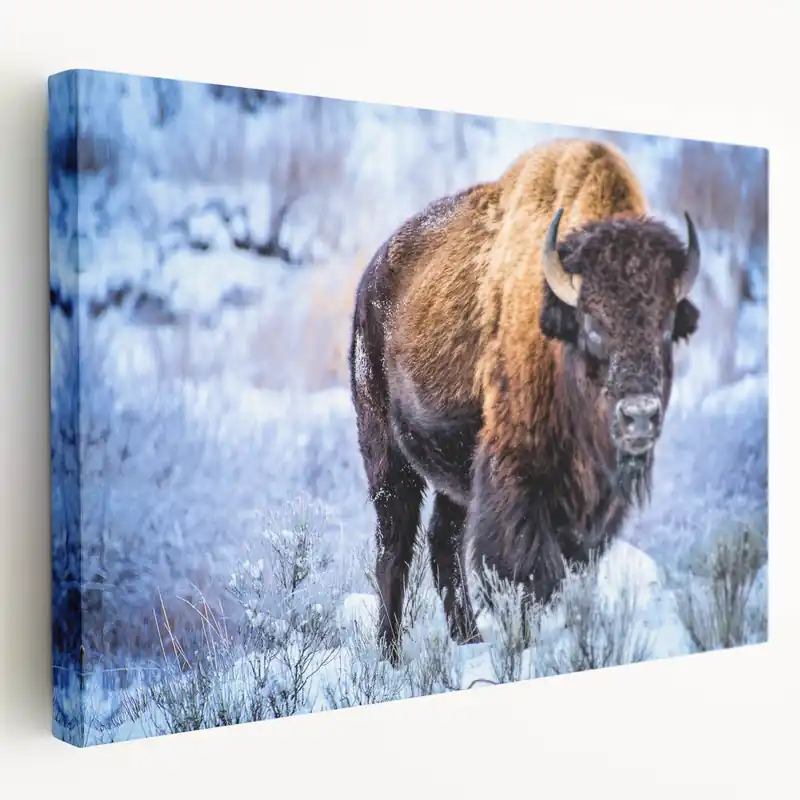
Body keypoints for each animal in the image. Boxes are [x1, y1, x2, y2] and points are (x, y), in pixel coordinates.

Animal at [348, 138, 700, 664]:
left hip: (456, 473)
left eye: (665, 328)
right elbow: (529, 573)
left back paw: (469, 640)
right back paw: (389, 655)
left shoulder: (592, 506)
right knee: (394, 547)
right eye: (593, 326)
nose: (639, 417)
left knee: (442, 543)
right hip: (386, 456)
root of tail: (369, 281)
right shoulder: (518, 478)